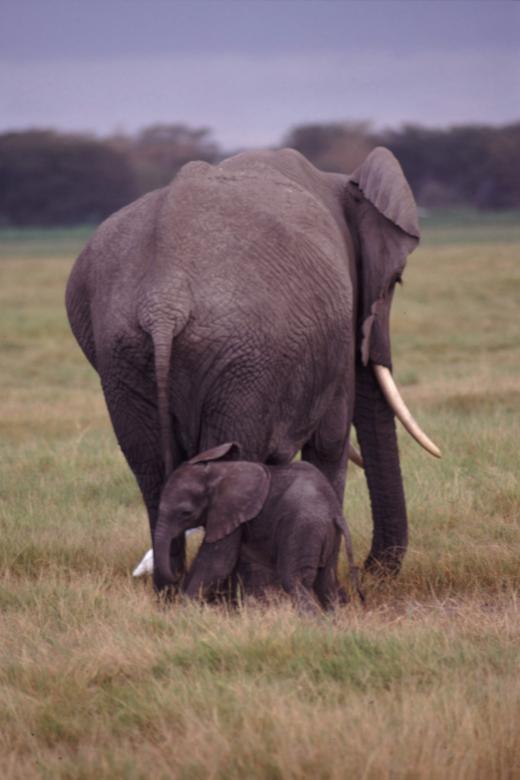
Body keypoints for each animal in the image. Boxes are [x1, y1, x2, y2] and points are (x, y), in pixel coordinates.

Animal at [65, 145, 440, 590]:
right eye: (396, 280)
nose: (371, 572)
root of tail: (163, 302)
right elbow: (329, 443)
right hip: (242, 357)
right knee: (230, 461)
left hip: (124, 356)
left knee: (151, 470)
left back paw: (172, 593)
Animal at [154, 442, 364, 611]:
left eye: (185, 513)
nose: (176, 575)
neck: (217, 472)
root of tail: (335, 512)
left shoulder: (234, 513)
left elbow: (217, 564)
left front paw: (182, 613)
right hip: (328, 534)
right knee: (326, 582)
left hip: (304, 528)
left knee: (295, 582)